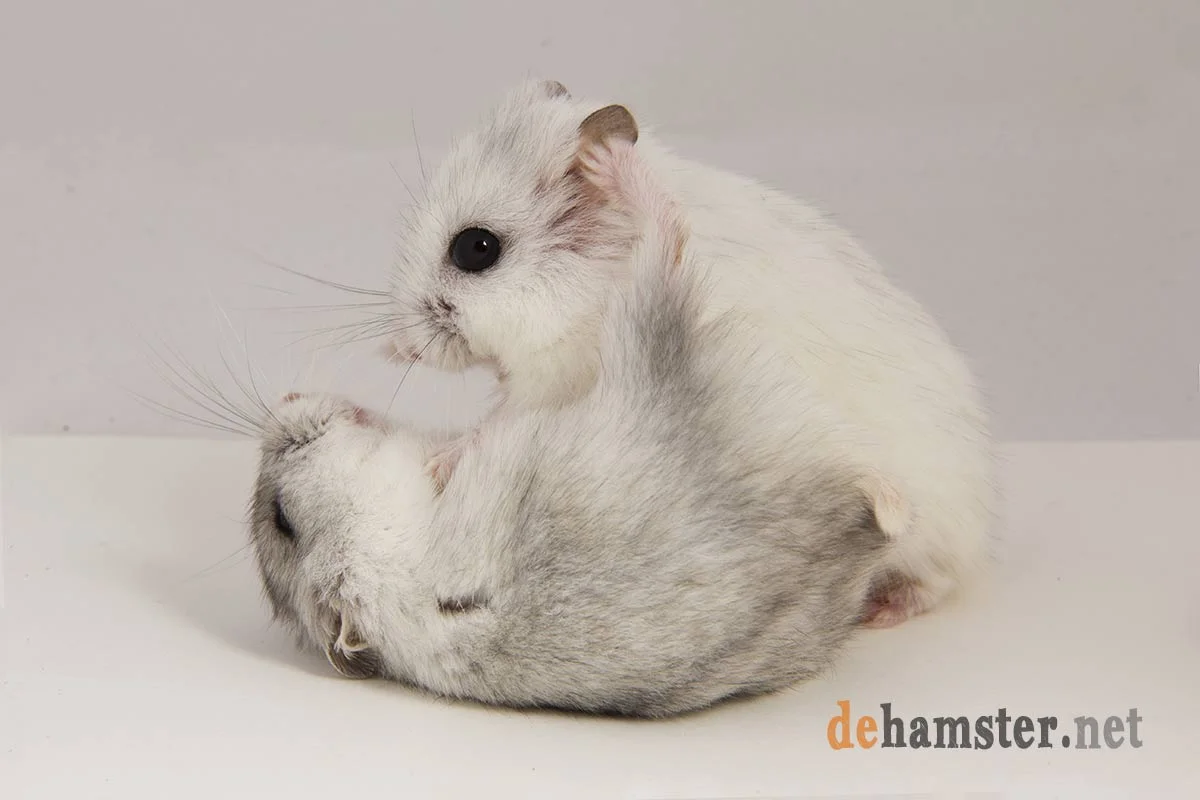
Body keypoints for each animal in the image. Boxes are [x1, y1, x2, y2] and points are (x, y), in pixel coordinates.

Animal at [250, 140, 891, 717]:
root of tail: (849, 535)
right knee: (666, 247)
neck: (392, 559)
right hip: (652, 341)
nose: (284, 401)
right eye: (283, 519)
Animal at [383, 79, 996, 628]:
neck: (597, 281)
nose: (402, 349)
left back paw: (884, 610)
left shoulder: (553, 379)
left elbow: (495, 424)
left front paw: (436, 462)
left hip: (927, 528)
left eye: (476, 248)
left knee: (941, 578)